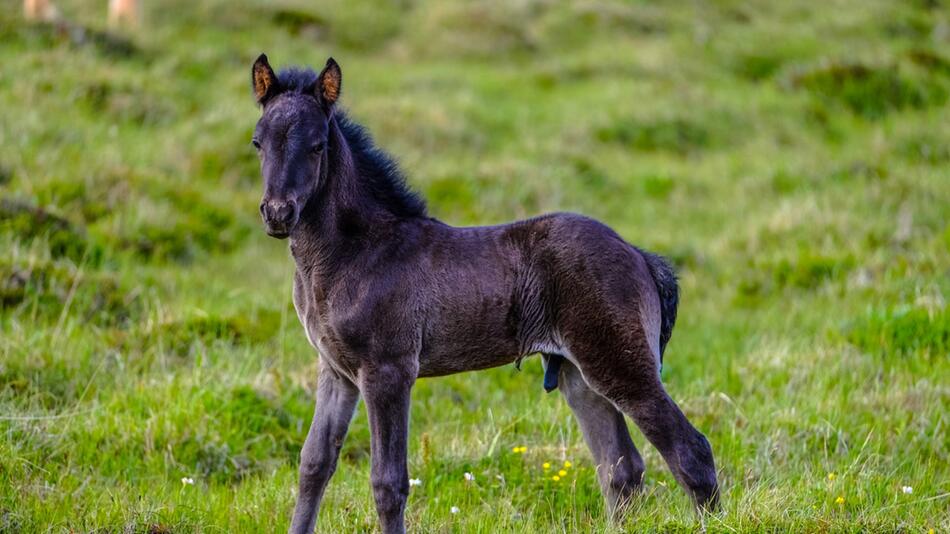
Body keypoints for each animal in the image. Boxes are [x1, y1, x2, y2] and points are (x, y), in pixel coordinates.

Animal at [249, 54, 716, 534]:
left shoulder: (388, 370)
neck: (356, 250)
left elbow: (388, 481)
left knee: (690, 451)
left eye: (317, 146)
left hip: (619, 363)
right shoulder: (336, 370)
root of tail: (640, 255)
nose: (278, 214)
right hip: (577, 375)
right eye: (258, 142)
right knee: (621, 469)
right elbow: (314, 464)